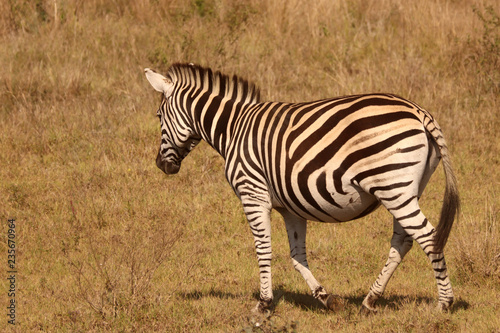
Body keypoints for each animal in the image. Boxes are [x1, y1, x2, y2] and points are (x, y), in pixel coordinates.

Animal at [143, 63, 458, 314]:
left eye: (158, 116)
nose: (161, 165)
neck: (233, 128)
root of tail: (418, 111)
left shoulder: (252, 193)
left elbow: (263, 249)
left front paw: (264, 304)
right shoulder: (290, 208)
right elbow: (297, 256)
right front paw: (325, 298)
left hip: (392, 186)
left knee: (428, 236)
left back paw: (444, 303)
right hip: (404, 189)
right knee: (403, 240)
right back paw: (370, 300)